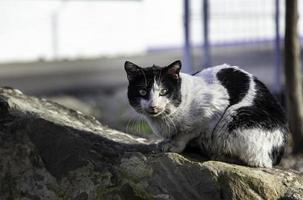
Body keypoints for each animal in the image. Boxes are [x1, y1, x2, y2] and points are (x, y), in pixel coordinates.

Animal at [124, 59, 288, 167]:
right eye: (142, 91)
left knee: (256, 161)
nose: (153, 106)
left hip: (234, 119)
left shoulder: (214, 109)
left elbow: (187, 132)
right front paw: (166, 142)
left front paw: (174, 145)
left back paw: (218, 155)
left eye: (164, 91)